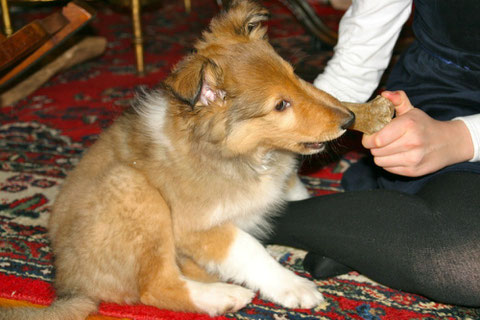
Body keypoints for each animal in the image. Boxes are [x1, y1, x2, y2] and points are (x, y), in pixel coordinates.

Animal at [0, 1, 352, 318]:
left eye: (294, 76)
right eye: (280, 105)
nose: (349, 119)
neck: (244, 156)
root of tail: (70, 285)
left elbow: (299, 193)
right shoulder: (195, 226)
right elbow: (248, 247)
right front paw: (294, 287)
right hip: (134, 189)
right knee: (157, 287)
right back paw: (224, 296)